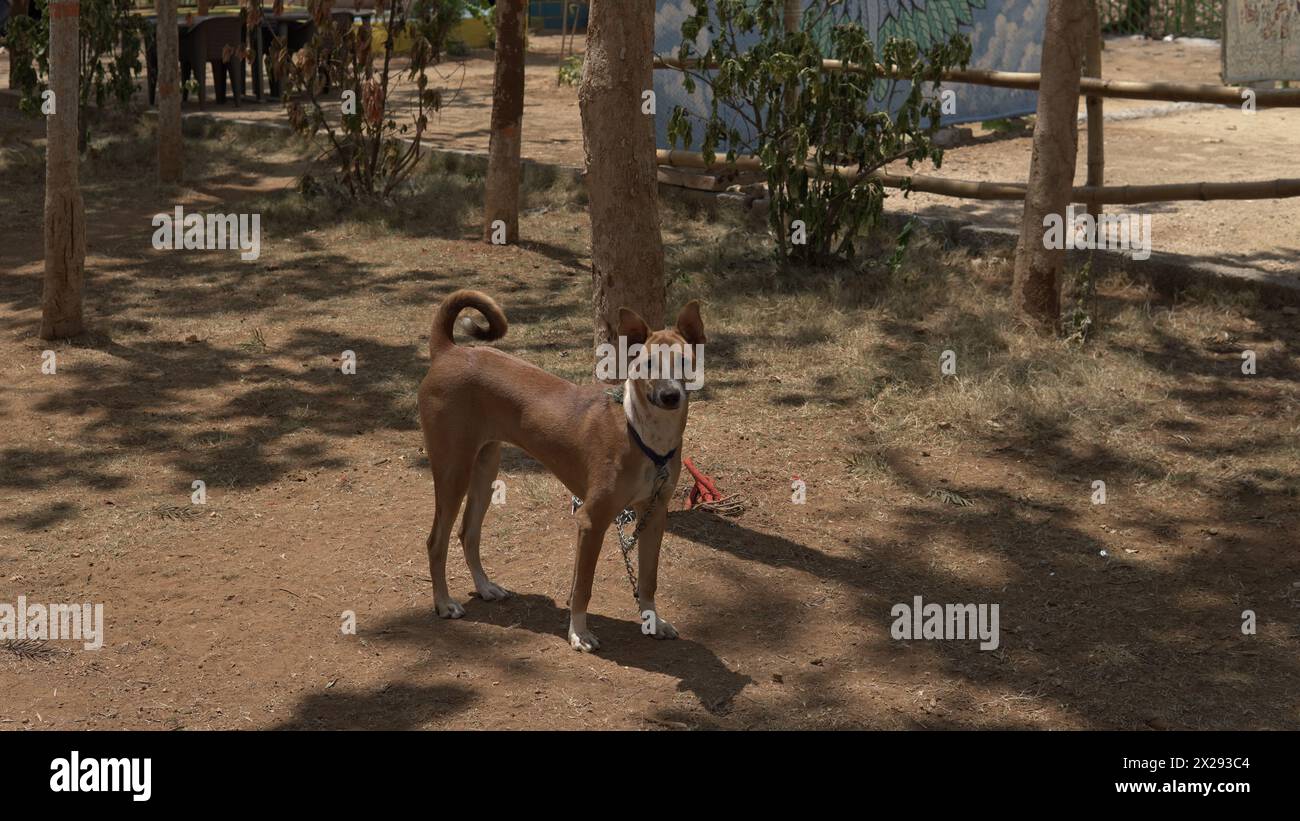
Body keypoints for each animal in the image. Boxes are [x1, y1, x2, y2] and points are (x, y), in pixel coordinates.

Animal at [416, 292, 707, 652]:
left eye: (684, 362)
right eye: (649, 364)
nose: (670, 395)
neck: (643, 433)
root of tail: (449, 351)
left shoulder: (654, 515)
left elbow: (648, 579)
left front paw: (653, 621)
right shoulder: (591, 522)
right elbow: (582, 588)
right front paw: (578, 633)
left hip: (485, 469)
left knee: (468, 533)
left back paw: (485, 587)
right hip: (453, 471)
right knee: (436, 541)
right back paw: (444, 603)